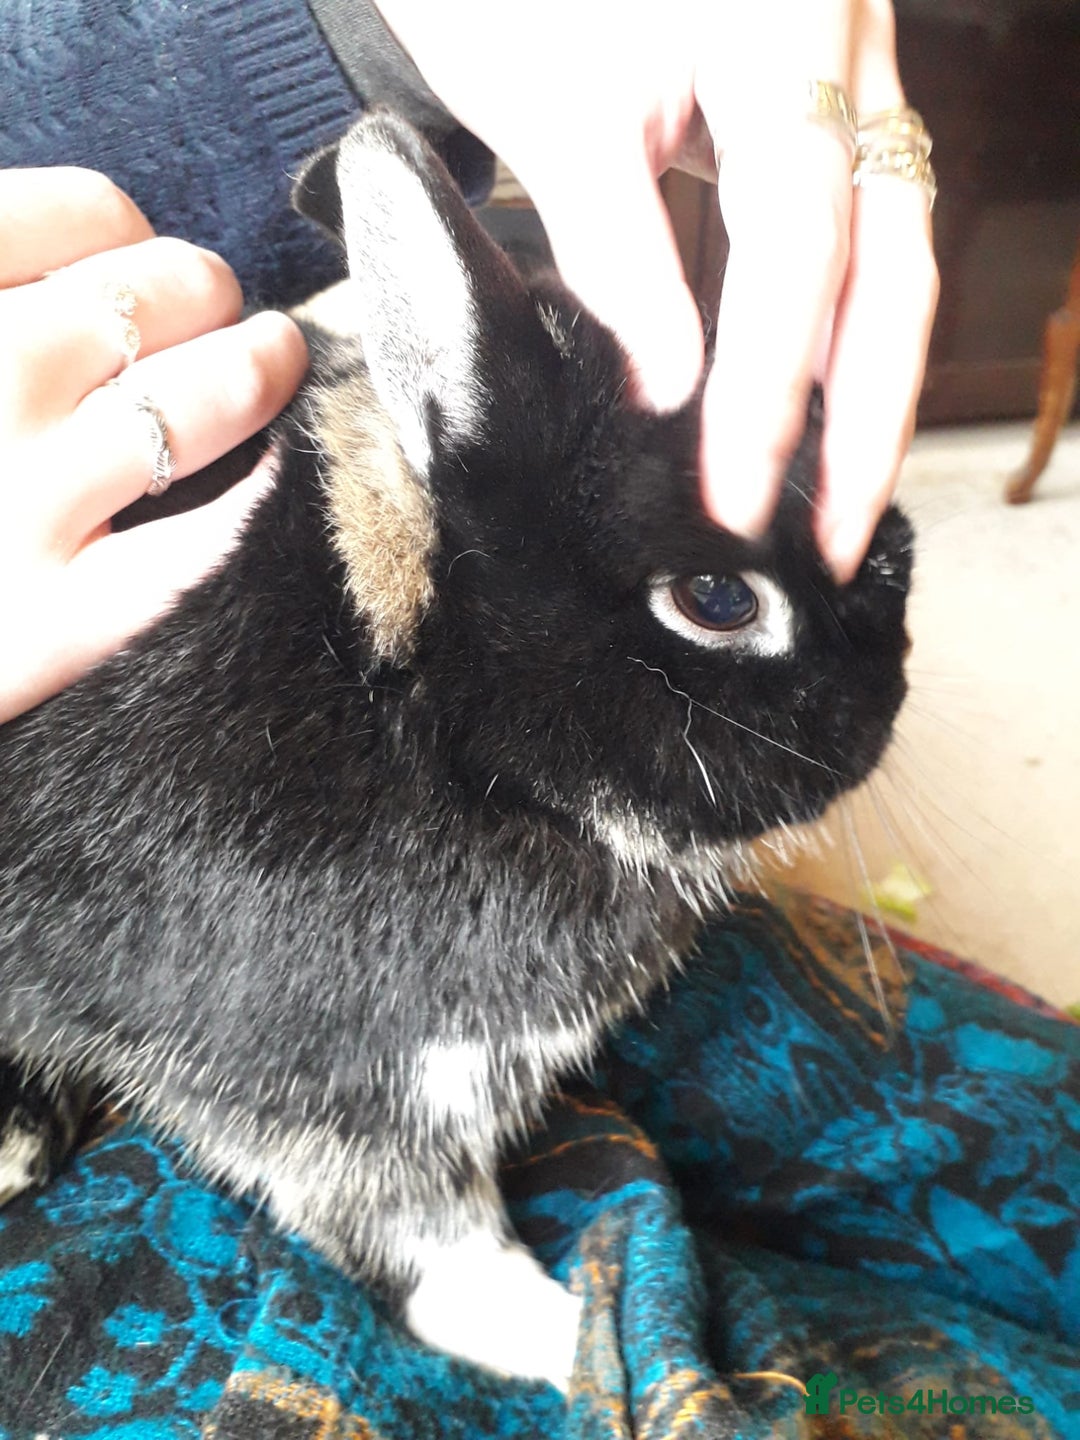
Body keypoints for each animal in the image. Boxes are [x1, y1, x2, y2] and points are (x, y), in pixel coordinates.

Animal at [0, 110, 912, 1391]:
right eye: (720, 598)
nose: (892, 681)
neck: (421, 709)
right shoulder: (326, 1084)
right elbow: (420, 1234)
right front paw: (569, 1335)